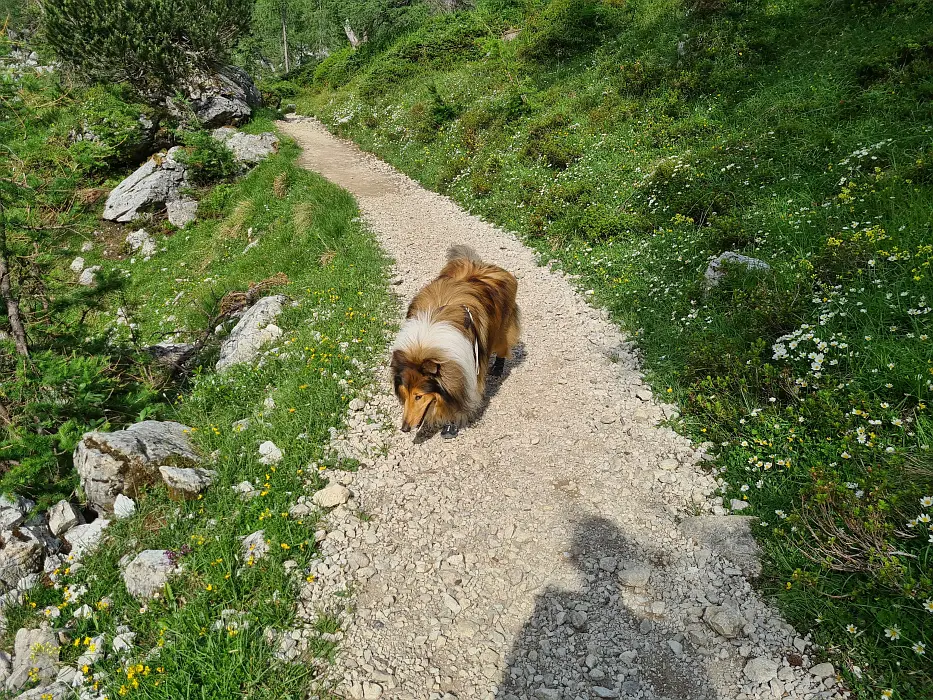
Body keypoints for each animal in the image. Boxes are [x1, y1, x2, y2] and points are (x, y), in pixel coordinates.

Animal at [386, 246, 516, 438]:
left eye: (419, 396)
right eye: (405, 393)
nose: (405, 428)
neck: (424, 345)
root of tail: (479, 264)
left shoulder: (467, 369)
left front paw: (450, 425)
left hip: (502, 332)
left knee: (503, 348)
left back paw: (498, 368)